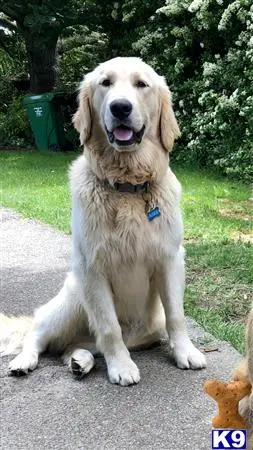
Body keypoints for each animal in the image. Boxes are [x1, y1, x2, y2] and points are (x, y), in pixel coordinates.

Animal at [0, 58, 206, 384]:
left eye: (141, 84)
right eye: (105, 83)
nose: (120, 107)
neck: (126, 186)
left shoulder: (170, 258)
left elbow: (176, 315)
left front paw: (185, 352)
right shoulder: (92, 267)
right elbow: (109, 327)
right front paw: (121, 366)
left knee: (72, 348)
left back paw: (80, 362)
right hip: (71, 298)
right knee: (38, 332)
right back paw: (24, 361)